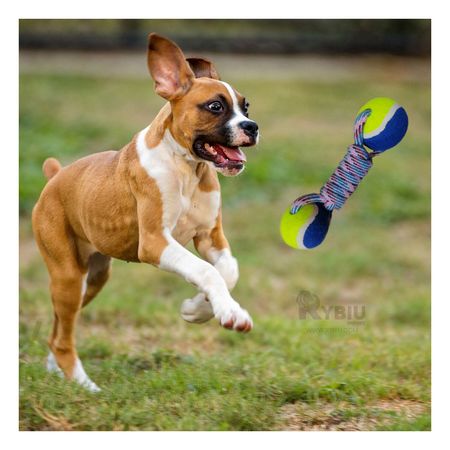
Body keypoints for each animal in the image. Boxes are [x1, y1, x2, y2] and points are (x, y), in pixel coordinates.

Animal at [32, 33, 260, 390]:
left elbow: (228, 270)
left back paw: (58, 371)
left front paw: (198, 309)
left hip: (93, 278)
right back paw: (85, 386)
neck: (186, 168)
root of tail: (56, 175)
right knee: (64, 336)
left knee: (58, 331)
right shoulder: (156, 242)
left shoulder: (210, 236)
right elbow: (206, 271)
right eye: (215, 106)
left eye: (245, 106)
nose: (252, 126)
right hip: (68, 276)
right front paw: (228, 312)